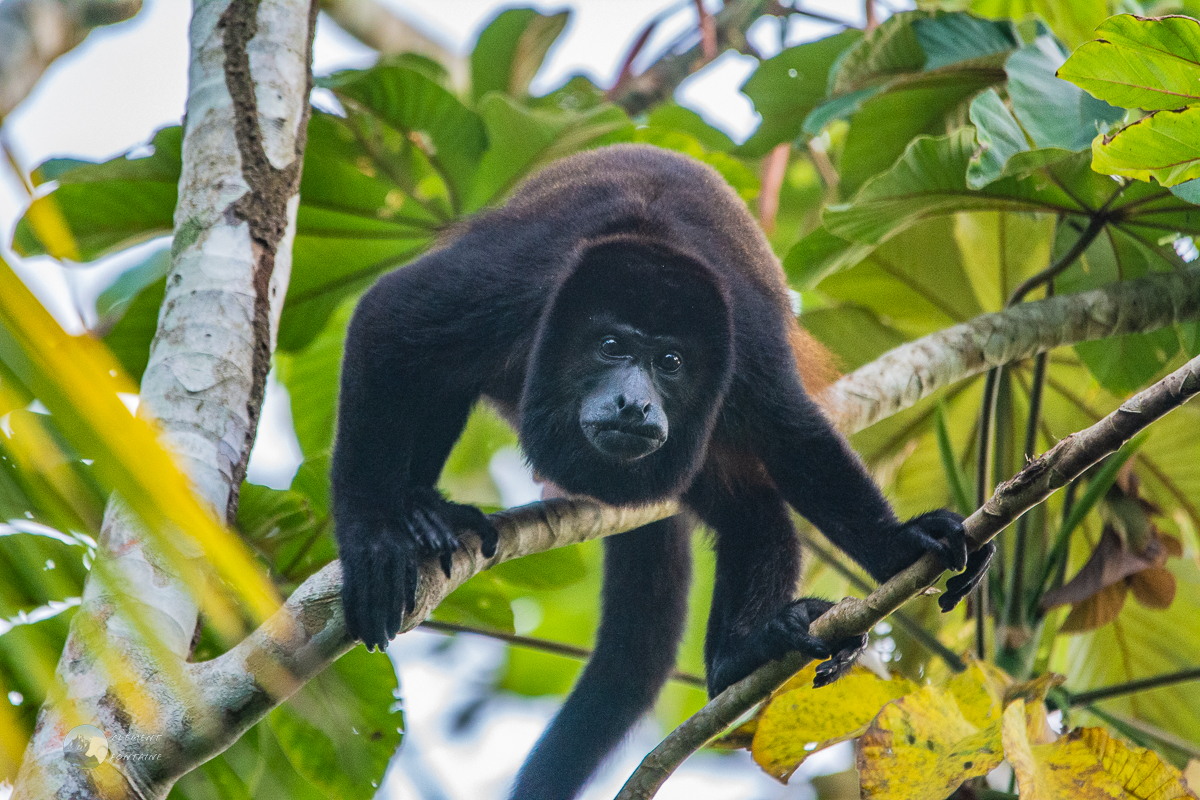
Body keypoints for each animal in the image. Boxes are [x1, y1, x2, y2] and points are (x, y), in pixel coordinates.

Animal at [336, 143, 993, 800]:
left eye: (671, 362)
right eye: (609, 347)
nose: (635, 404)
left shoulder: (744, 339)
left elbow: (796, 439)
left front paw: (901, 544)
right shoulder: (517, 284)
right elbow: (388, 315)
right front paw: (374, 542)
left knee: (754, 514)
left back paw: (741, 657)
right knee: (435, 369)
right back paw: (422, 510)